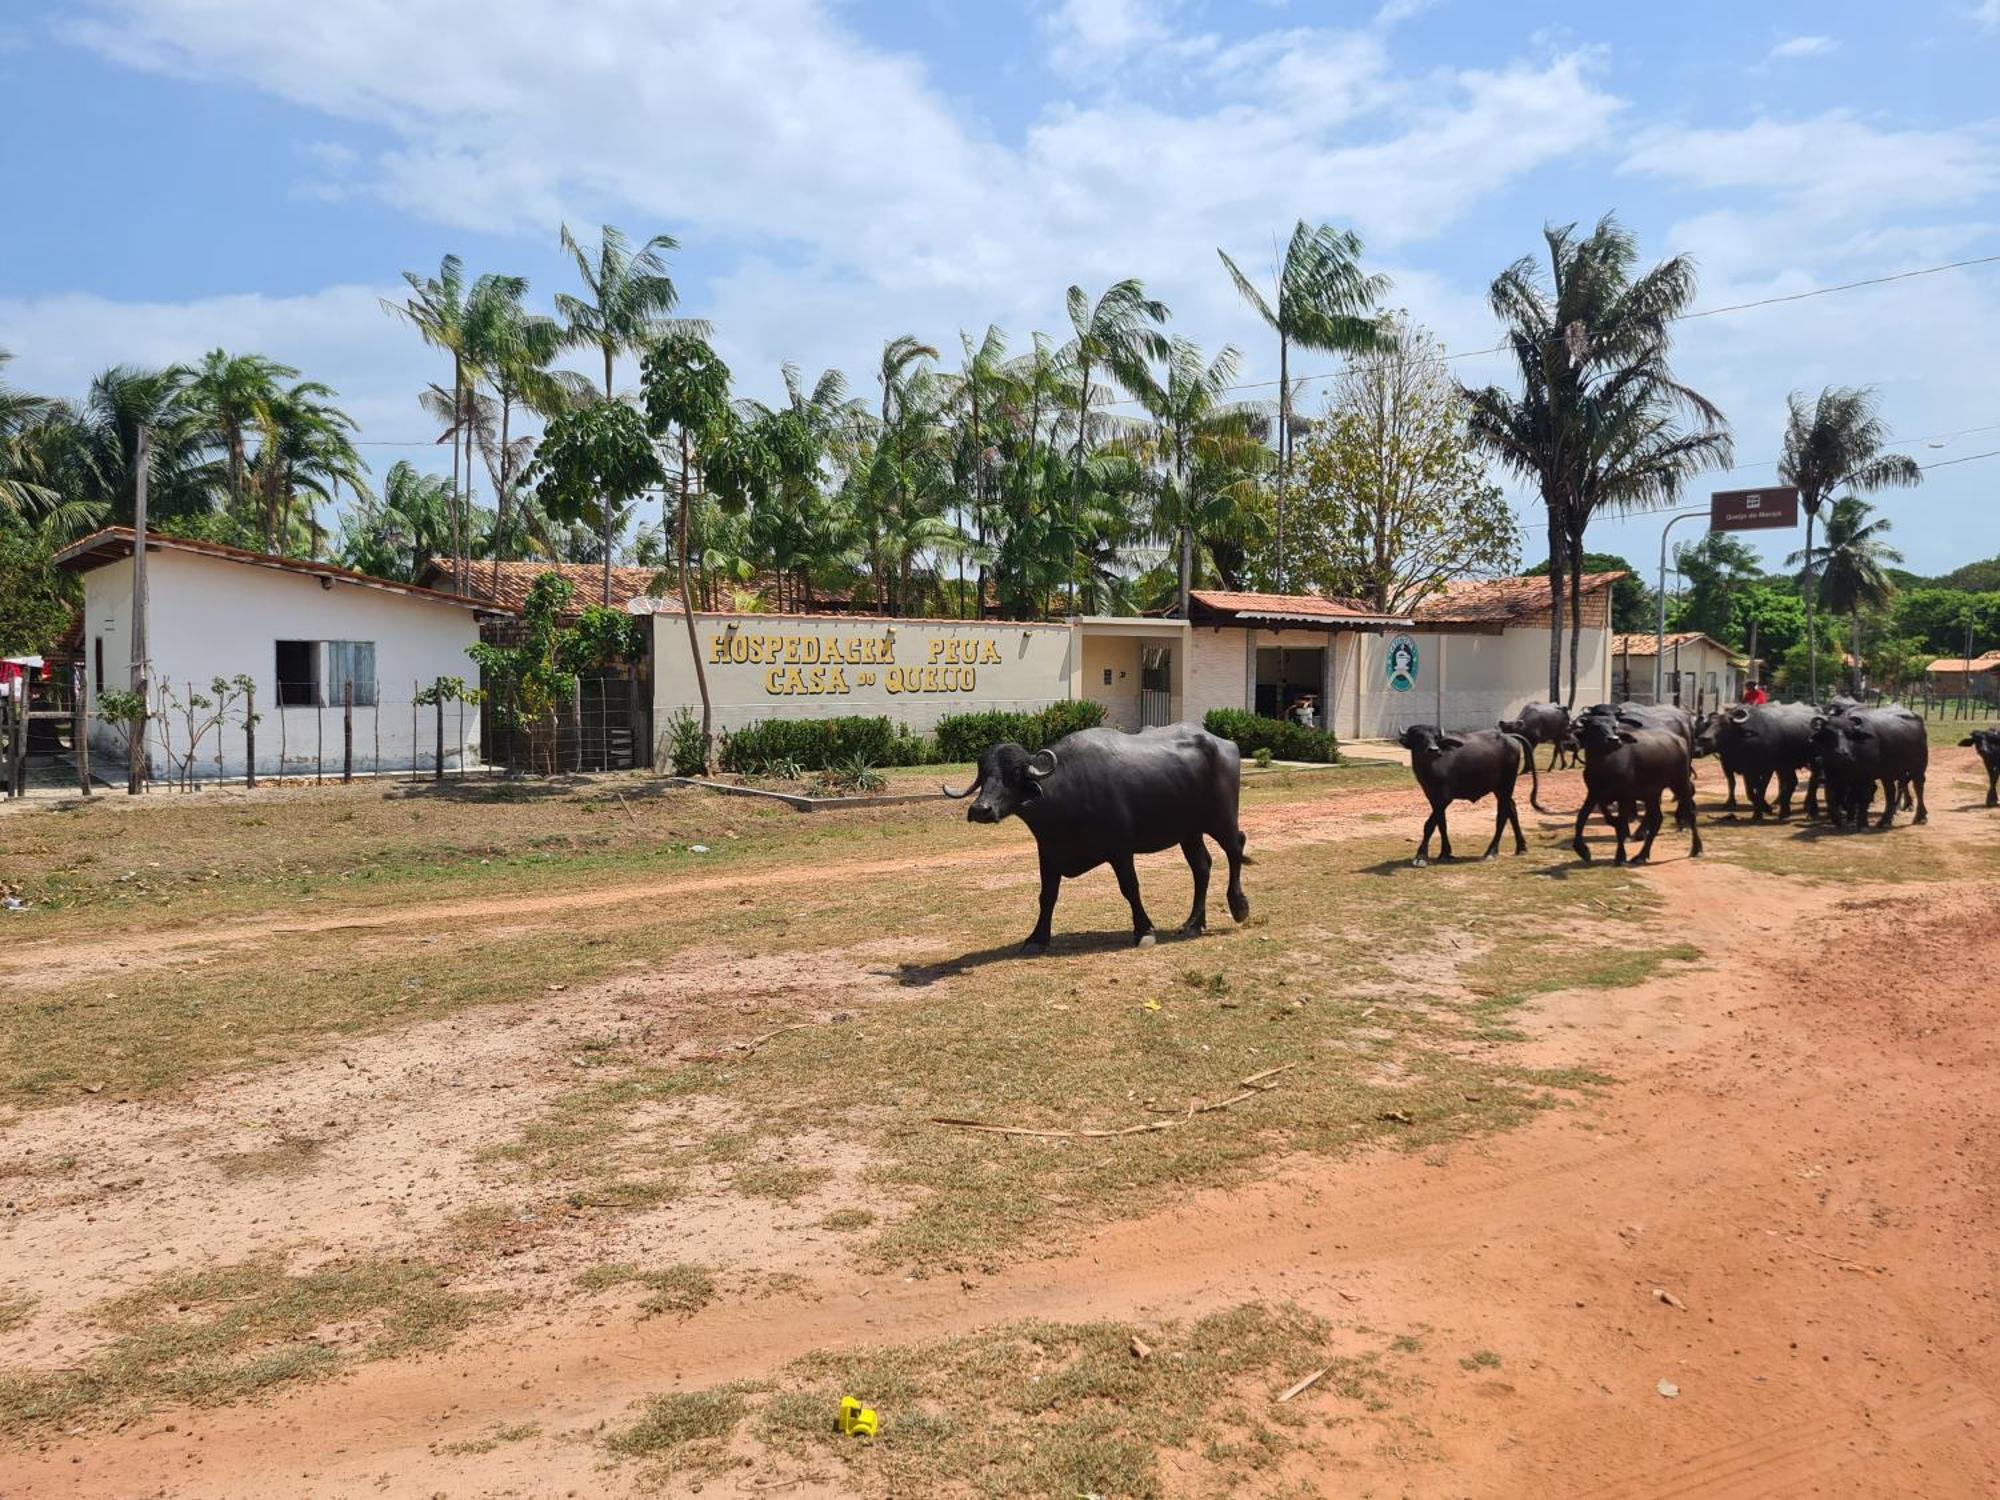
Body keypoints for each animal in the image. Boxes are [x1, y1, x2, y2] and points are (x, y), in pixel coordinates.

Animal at [944, 724, 1240, 956]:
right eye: (984, 774)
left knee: (1235, 850)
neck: (1063, 795)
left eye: (1014, 774)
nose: (980, 810)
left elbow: (1130, 888)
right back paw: (1193, 924)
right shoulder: (1049, 853)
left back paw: (1239, 906)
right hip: (1189, 832)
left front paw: (1144, 931)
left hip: (1222, 820)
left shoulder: (1121, 850)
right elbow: (1047, 896)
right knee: (1202, 867)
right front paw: (1037, 939)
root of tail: (1226, 745)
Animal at [1400, 728, 1536, 868]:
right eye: (1418, 736)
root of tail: (1508, 736)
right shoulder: (1432, 797)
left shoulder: (1444, 798)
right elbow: (1442, 824)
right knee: (1512, 810)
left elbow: (1429, 825)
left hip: (1506, 786)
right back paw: (1521, 847)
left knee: (1502, 816)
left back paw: (1491, 852)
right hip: (1499, 789)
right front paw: (1445, 853)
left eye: (1436, 737)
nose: (1433, 749)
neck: (1431, 768)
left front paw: (1421, 857)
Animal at [1568, 716, 1696, 868]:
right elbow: (1582, 817)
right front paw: (1582, 850)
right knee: (1657, 820)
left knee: (1690, 813)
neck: (1604, 766)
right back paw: (1641, 856)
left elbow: (1621, 825)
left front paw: (1620, 857)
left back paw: (1697, 849)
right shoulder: (1594, 794)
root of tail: (1679, 740)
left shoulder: (1624, 798)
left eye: (1614, 727)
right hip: (1652, 795)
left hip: (1680, 783)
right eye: (1594, 727)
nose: (1613, 740)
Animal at [1696, 704, 1824, 824]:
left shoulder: (1767, 769)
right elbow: (1750, 792)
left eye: (1724, 725)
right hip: (1787, 766)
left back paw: (1811, 811)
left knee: (1812, 783)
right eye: (1708, 725)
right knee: (1792, 782)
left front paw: (1759, 814)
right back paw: (1784, 812)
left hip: (1814, 761)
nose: (1704, 738)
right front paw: (1764, 809)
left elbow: (1761, 790)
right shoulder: (1747, 770)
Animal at [1808, 708, 1928, 836]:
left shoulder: (1866, 778)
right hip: (1889, 774)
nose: (1841, 752)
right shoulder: (1832, 777)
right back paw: (1885, 820)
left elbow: (1863, 799)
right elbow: (1830, 798)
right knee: (1891, 793)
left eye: (1850, 734)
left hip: (1918, 768)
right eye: (1829, 734)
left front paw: (1862, 824)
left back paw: (1920, 817)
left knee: (1918, 788)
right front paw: (1837, 821)